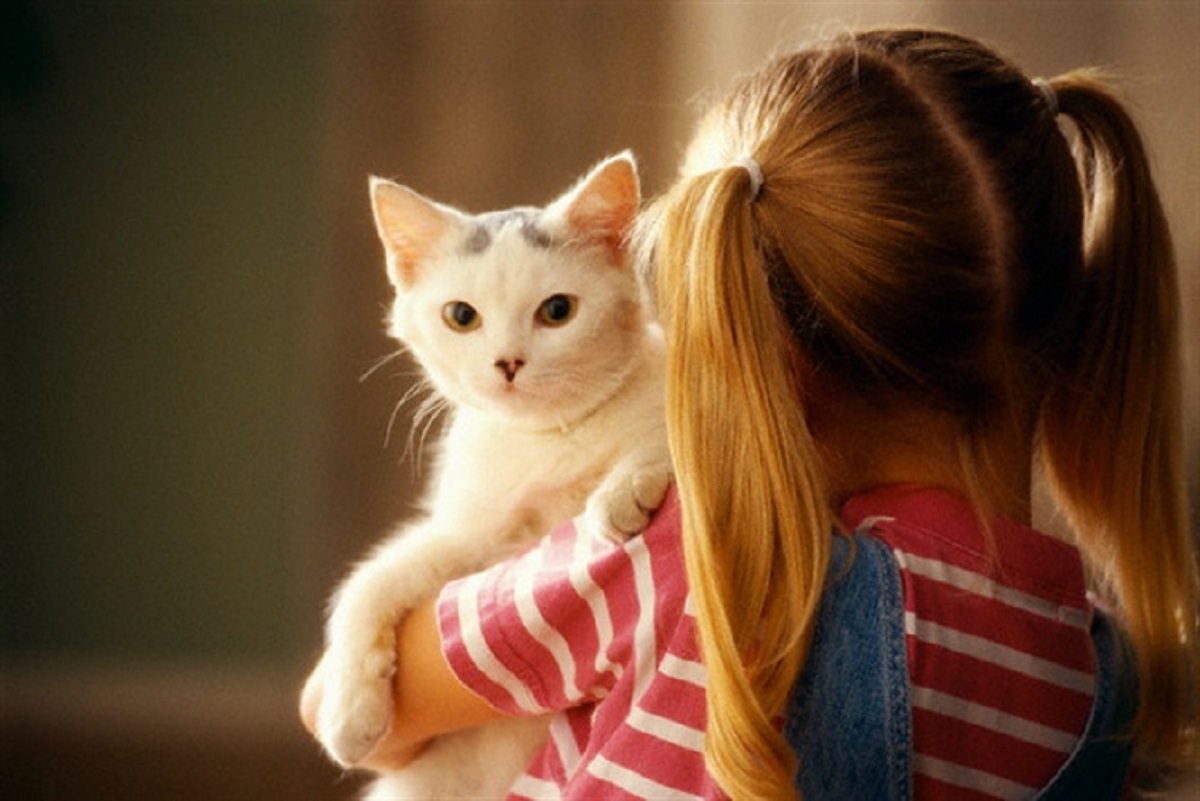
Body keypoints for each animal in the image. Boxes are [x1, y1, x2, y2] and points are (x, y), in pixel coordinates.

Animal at [304, 153, 672, 796]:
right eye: (460, 317)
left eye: (558, 310)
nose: (507, 362)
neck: (546, 440)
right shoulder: (475, 539)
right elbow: (369, 582)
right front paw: (349, 710)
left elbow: (673, 437)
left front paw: (621, 491)